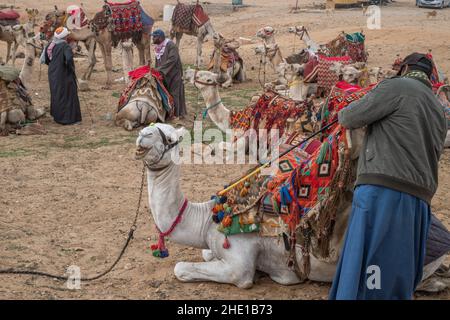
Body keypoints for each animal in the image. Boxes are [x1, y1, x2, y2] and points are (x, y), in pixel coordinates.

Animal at [135, 123, 448, 292]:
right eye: (154, 125)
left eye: (170, 137)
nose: (143, 134)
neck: (209, 219)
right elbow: (204, 254)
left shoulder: (240, 265)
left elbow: (182, 268)